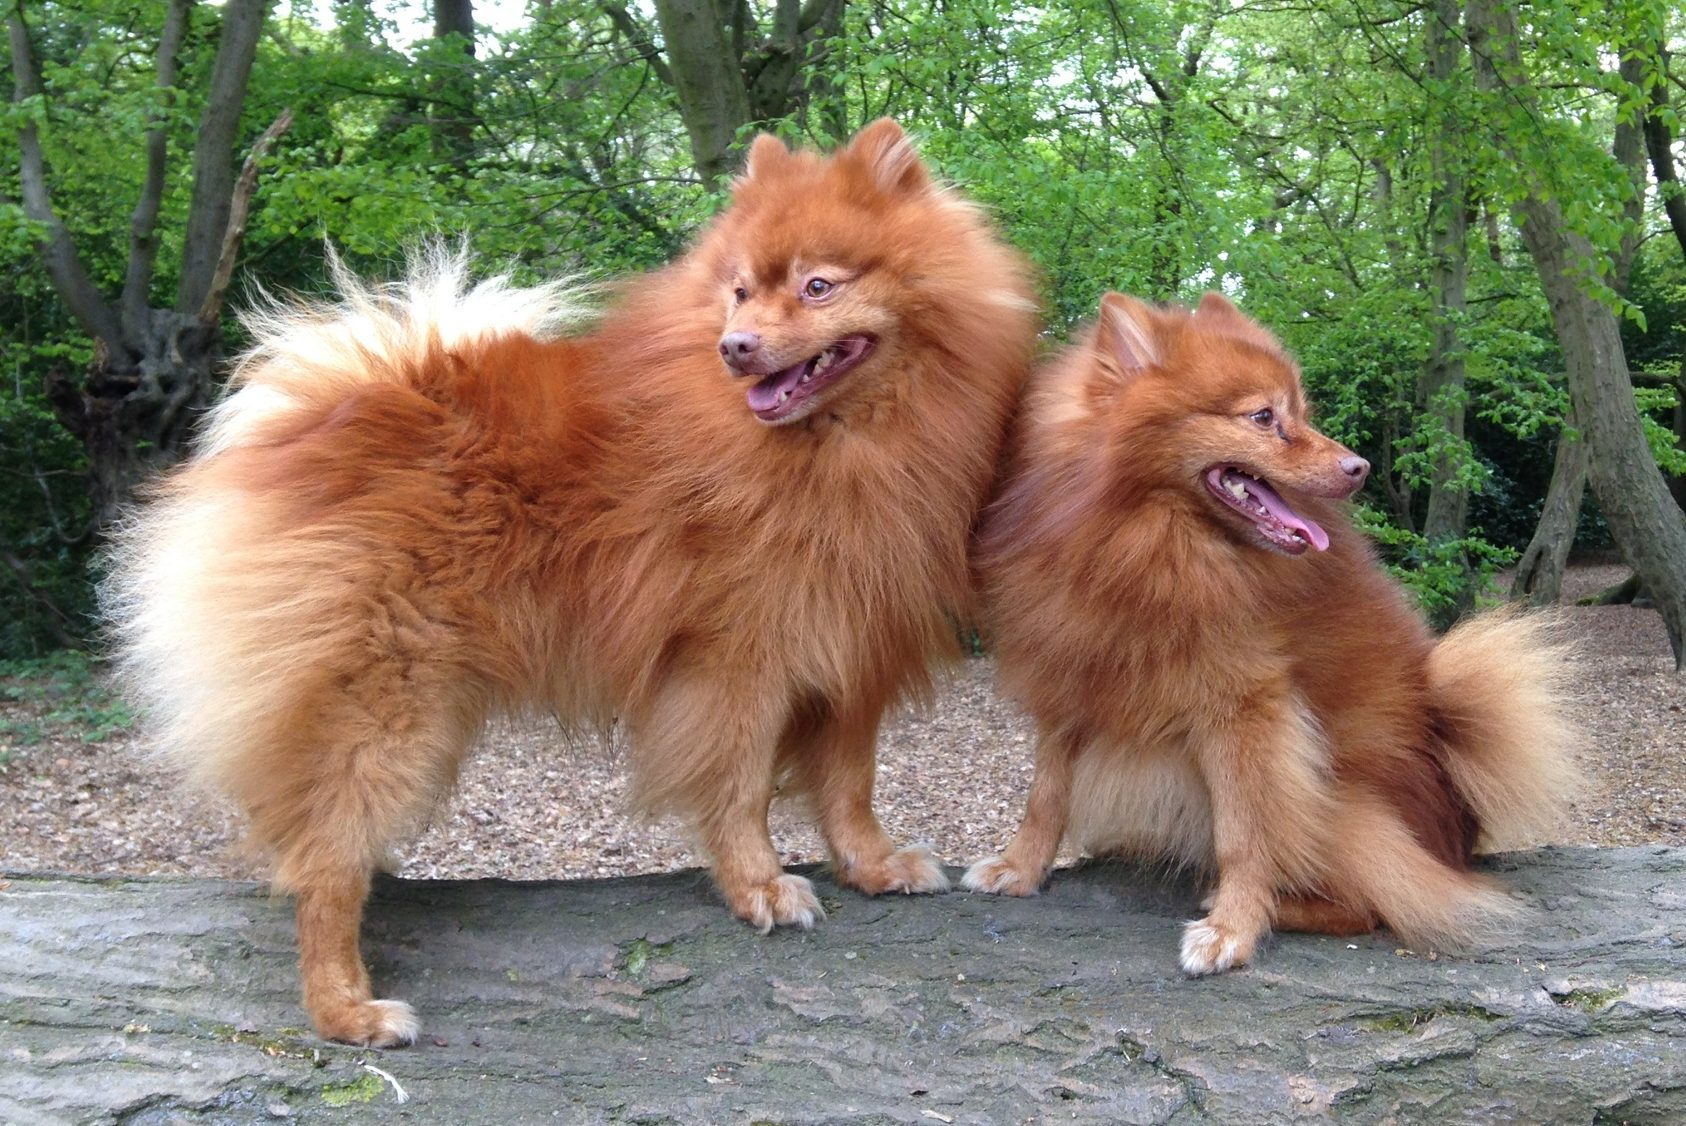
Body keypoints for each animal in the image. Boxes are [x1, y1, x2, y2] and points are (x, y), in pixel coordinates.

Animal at [105, 118, 1031, 1045]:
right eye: (739, 294)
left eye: (816, 287)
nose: (735, 347)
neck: (840, 445)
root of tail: (335, 409)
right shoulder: (735, 660)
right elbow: (737, 787)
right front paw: (760, 886)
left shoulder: (849, 648)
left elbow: (848, 782)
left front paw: (872, 865)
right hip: (387, 701)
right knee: (321, 858)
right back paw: (346, 1007)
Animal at [971, 293, 1571, 977]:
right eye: (1263, 416)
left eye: (1302, 414)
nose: (1359, 466)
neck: (1141, 544)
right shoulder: (1071, 679)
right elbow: (1045, 795)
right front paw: (1020, 868)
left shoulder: (1244, 709)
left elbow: (1245, 832)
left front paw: (1232, 928)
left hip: (1343, 811)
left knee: (1375, 904)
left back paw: (1276, 906)